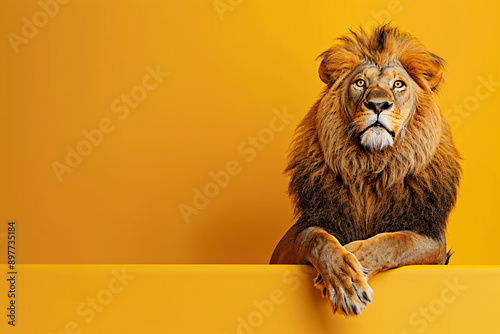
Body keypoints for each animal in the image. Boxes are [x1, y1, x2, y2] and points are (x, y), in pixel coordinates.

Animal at [272, 24, 462, 318]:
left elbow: (393, 241)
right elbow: (317, 237)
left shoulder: (431, 239)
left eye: (398, 84)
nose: (378, 104)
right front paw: (344, 276)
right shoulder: (288, 244)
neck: (373, 166)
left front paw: (351, 268)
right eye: (360, 83)